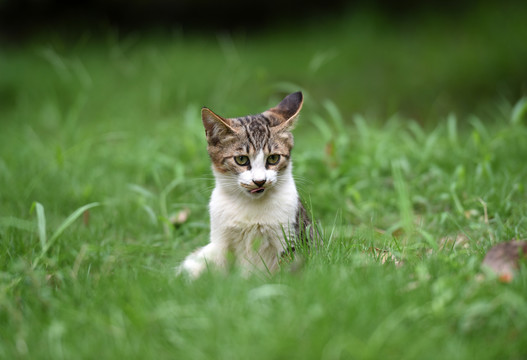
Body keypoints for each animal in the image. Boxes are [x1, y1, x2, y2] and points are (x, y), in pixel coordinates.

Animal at [179, 92, 316, 278]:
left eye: (273, 158)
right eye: (241, 159)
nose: (259, 181)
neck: (250, 206)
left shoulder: (290, 236)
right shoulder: (221, 241)